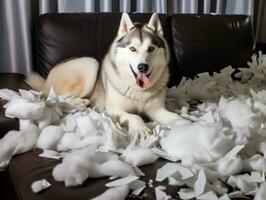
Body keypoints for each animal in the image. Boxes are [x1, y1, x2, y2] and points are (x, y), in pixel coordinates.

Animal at [27, 13, 185, 140]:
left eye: (151, 49)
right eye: (132, 49)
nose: (142, 67)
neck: (138, 90)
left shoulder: (157, 111)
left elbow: (177, 118)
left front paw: (187, 126)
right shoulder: (114, 110)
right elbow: (135, 116)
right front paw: (141, 128)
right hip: (90, 64)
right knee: (56, 98)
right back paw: (80, 102)